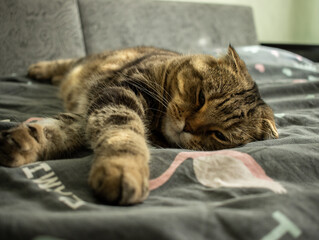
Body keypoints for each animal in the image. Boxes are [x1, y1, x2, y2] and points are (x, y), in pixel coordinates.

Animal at [0, 44, 278, 204]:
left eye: (219, 135)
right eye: (201, 97)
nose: (187, 126)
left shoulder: (92, 113)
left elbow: (56, 130)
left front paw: (22, 143)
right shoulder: (122, 93)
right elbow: (123, 133)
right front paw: (124, 169)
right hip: (87, 62)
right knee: (69, 62)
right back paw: (40, 69)